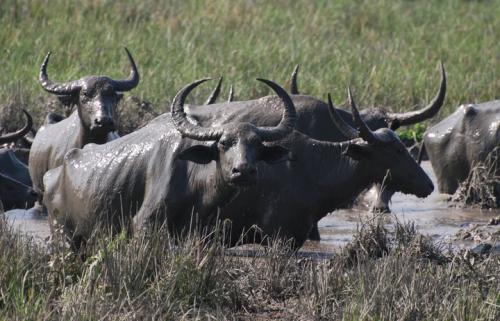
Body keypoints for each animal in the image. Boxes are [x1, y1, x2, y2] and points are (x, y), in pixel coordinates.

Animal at [43, 78, 296, 248]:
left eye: (257, 145)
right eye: (224, 143)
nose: (243, 171)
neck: (193, 179)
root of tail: (53, 174)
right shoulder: (145, 224)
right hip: (62, 235)